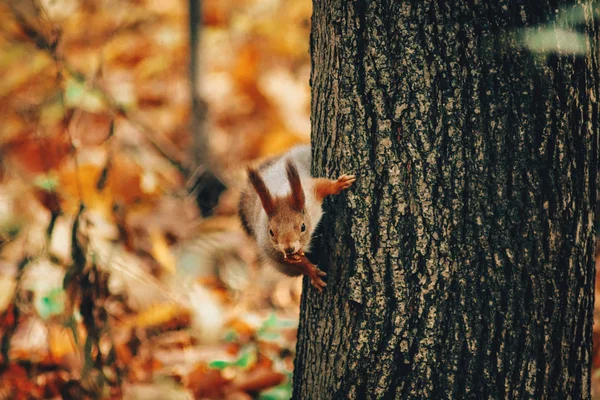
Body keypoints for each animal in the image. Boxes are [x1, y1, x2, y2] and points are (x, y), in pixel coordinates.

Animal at [237, 145, 354, 292]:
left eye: (303, 227)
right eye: (271, 232)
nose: (289, 248)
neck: (280, 194)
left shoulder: (309, 191)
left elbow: (323, 185)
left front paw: (339, 184)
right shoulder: (272, 251)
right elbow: (299, 264)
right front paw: (313, 273)